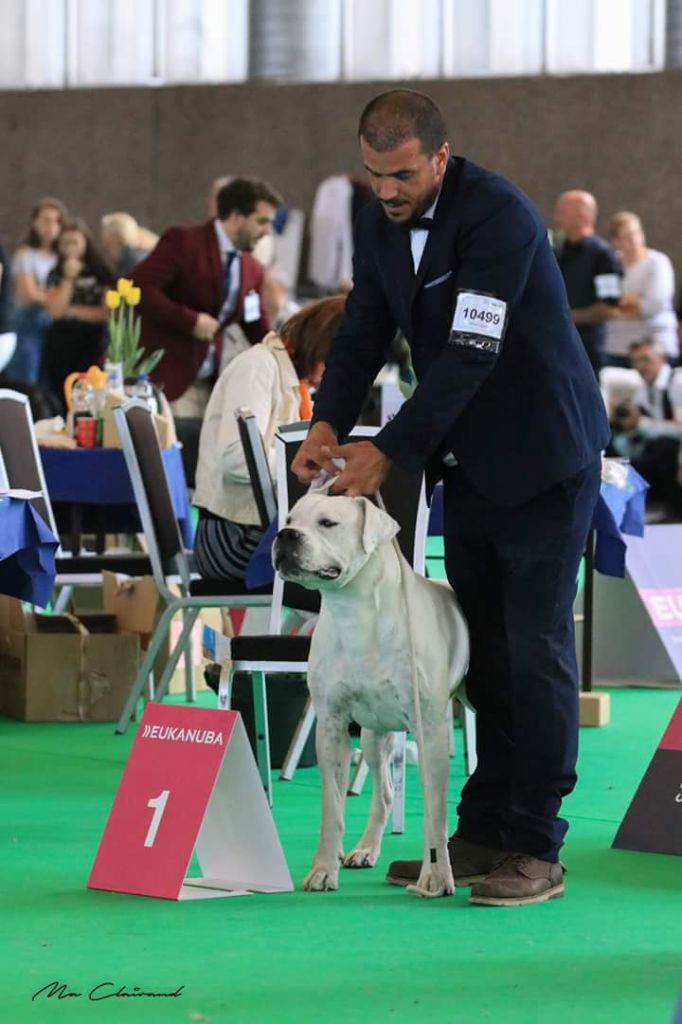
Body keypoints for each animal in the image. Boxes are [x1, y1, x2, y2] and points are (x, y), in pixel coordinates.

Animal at [270, 491, 466, 892]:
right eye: (290, 519)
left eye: (328, 523)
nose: (285, 535)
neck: (355, 612)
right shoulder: (331, 725)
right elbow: (332, 807)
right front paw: (323, 869)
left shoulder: (431, 729)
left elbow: (435, 813)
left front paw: (435, 876)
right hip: (375, 737)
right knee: (385, 791)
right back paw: (364, 849)